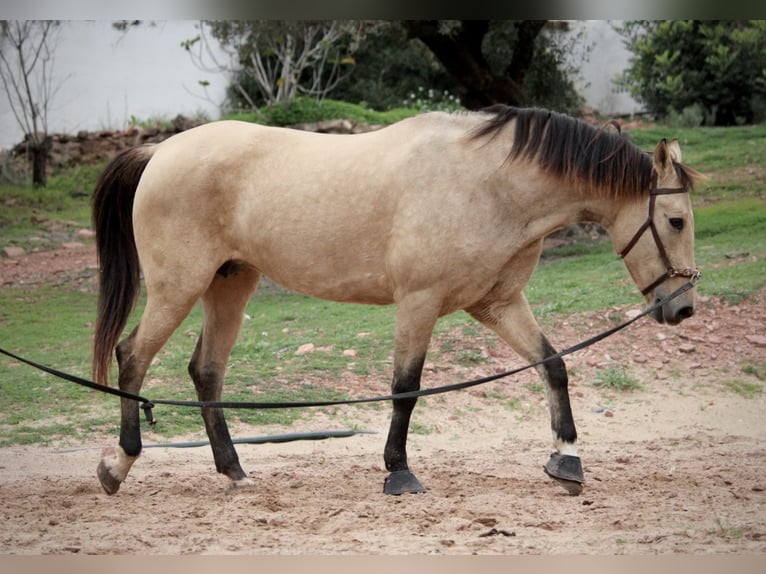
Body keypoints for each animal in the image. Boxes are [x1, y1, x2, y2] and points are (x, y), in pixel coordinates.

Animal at [90, 104, 704, 500]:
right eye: (675, 221)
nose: (683, 309)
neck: (487, 184)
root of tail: (161, 149)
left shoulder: (498, 303)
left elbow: (552, 365)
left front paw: (567, 458)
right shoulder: (419, 302)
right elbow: (406, 389)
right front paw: (398, 473)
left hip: (230, 285)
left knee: (206, 372)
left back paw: (235, 472)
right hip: (178, 287)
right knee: (133, 358)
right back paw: (118, 466)